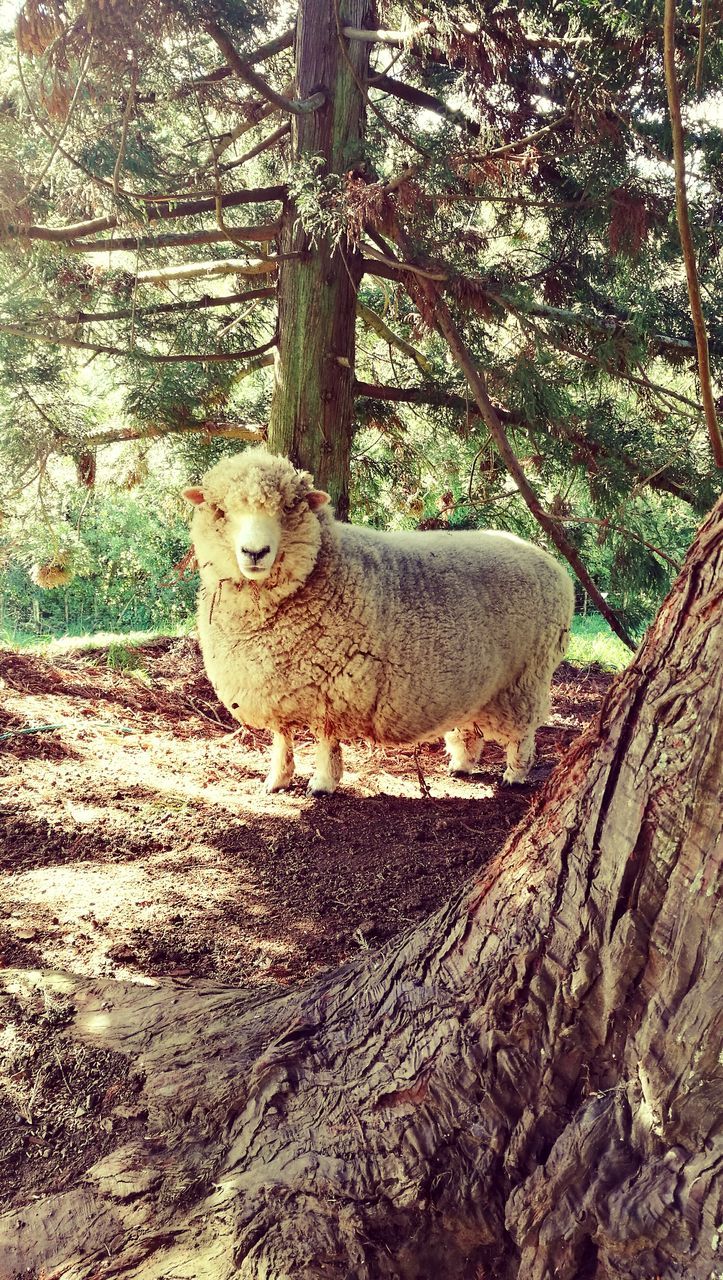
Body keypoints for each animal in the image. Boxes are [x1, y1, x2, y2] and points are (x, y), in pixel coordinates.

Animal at [182, 448, 573, 788]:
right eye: (219, 510)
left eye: (290, 506)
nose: (255, 552)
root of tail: (550, 562)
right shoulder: (279, 688)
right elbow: (283, 738)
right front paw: (277, 779)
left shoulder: (333, 690)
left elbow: (325, 741)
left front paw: (322, 784)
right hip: (477, 682)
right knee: (469, 728)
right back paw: (462, 765)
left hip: (525, 678)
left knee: (523, 733)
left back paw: (515, 774)